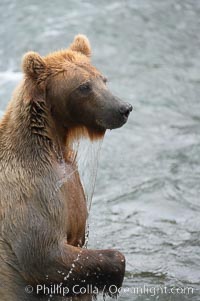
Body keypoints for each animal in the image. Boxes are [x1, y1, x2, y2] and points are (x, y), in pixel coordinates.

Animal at [0, 34, 133, 298]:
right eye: (84, 86)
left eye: (103, 79)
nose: (123, 108)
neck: (53, 144)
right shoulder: (32, 194)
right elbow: (44, 257)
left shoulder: (70, 182)